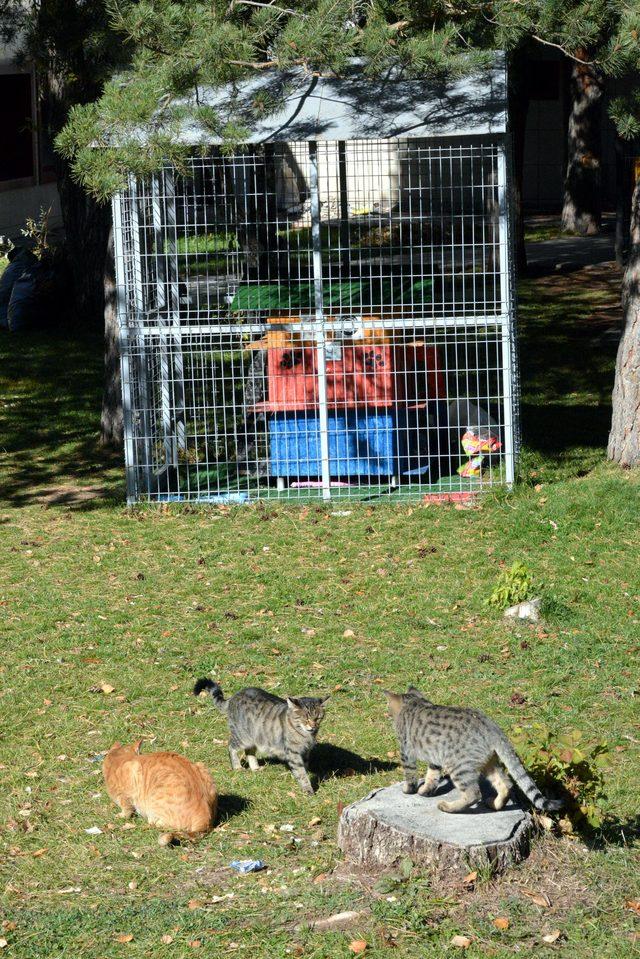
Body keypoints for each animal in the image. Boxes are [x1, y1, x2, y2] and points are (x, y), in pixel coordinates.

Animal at [192, 680, 328, 800]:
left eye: (318, 718)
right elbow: (301, 772)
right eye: (305, 719)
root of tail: (235, 696)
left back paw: (255, 768)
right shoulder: (293, 752)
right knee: (231, 746)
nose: (313, 726)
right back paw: (237, 767)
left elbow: (304, 767)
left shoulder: (305, 751)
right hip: (243, 737)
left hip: (254, 738)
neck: (305, 735)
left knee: (249, 752)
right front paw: (307, 789)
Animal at [382, 688, 564, 812]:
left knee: (473, 794)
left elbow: (410, 775)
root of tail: (491, 727)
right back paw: (494, 804)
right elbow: (432, 777)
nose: (388, 713)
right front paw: (426, 791)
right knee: (506, 784)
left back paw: (448, 807)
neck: (413, 703)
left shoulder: (406, 751)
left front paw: (409, 790)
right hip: (489, 763)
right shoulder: (434, 758)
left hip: (458, 766)